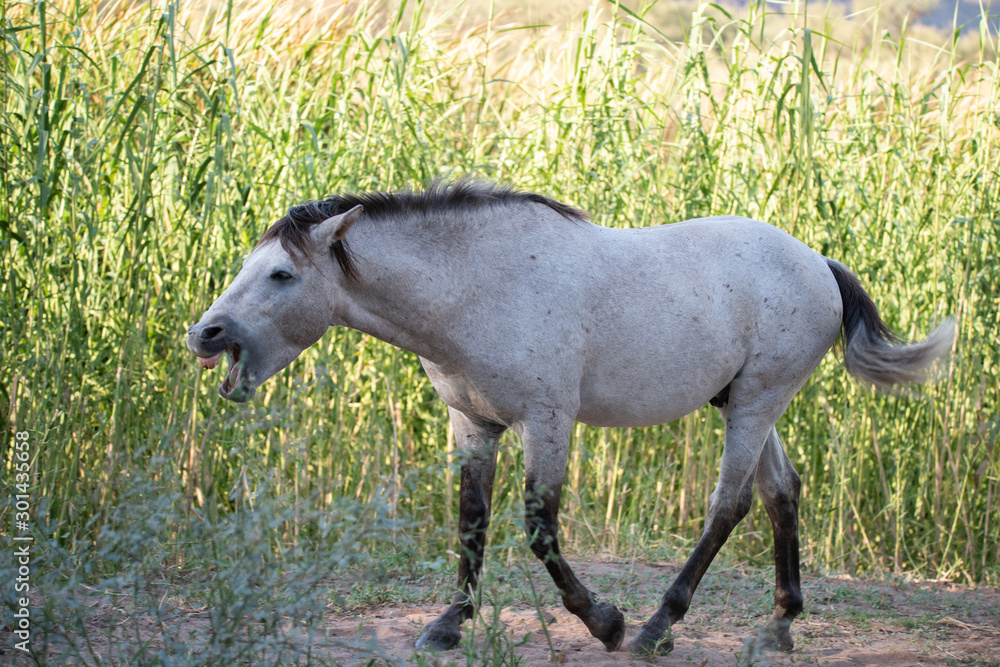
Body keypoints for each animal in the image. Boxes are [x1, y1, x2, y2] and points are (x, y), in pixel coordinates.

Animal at [187, 179, 954, 655]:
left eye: (282, 275)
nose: (206, 334)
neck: (477, 287)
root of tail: (818, 262)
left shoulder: (548, 420)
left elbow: (538, 526)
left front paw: (604, 621)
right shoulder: (472, 424)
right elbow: (471, 520)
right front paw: (448, 625)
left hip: (760, 400)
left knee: (729, 504)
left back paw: (655, 628)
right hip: (747, 402)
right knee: (780, 492)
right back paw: (779, 626)